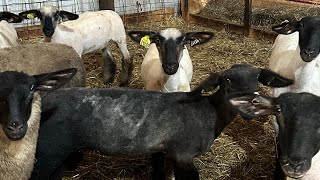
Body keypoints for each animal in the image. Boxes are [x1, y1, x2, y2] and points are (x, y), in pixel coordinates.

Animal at [29, 64, 292, 179]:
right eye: (226, 80)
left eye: (257, 79)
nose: (250, 104)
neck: (209, 112)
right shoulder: (183, 155)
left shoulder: (162, 151)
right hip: (49, 151)